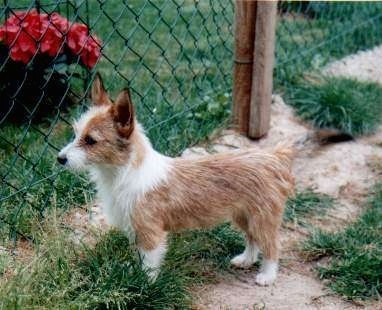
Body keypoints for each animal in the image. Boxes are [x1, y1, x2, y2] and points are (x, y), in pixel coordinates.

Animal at [57, 73, 296, 286]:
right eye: (76, 133)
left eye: (91, 140)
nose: (60, 159)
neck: (123, 173)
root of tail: (272, 157)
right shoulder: (136, 230)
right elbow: (139, 258)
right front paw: (134, 274)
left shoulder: (150, 233)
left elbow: (149, 264)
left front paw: (145, 286)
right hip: (244, 216)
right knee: (253, 239)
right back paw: (246, 260)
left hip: (262, 218)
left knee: (271, 245)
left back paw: (267, 276)